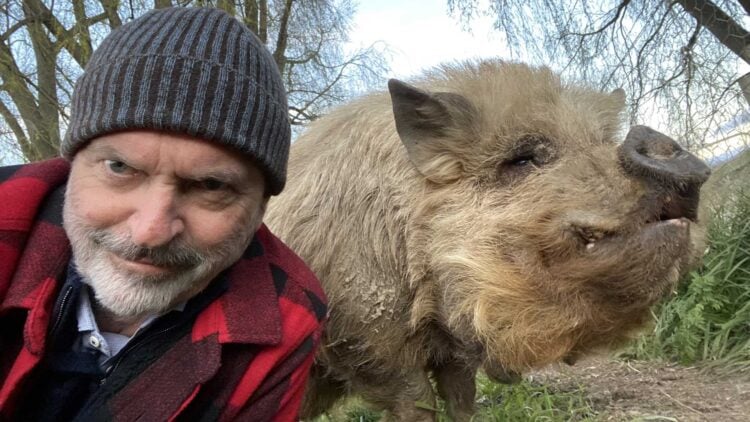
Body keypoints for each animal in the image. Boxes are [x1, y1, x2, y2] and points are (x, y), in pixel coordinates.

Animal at [264, 60, 710, 421]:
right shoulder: (363, 336)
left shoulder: (452, 353)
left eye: (599, 142)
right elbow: (417, 400)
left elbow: (463, 400)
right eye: (524, 158)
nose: (655, 139)